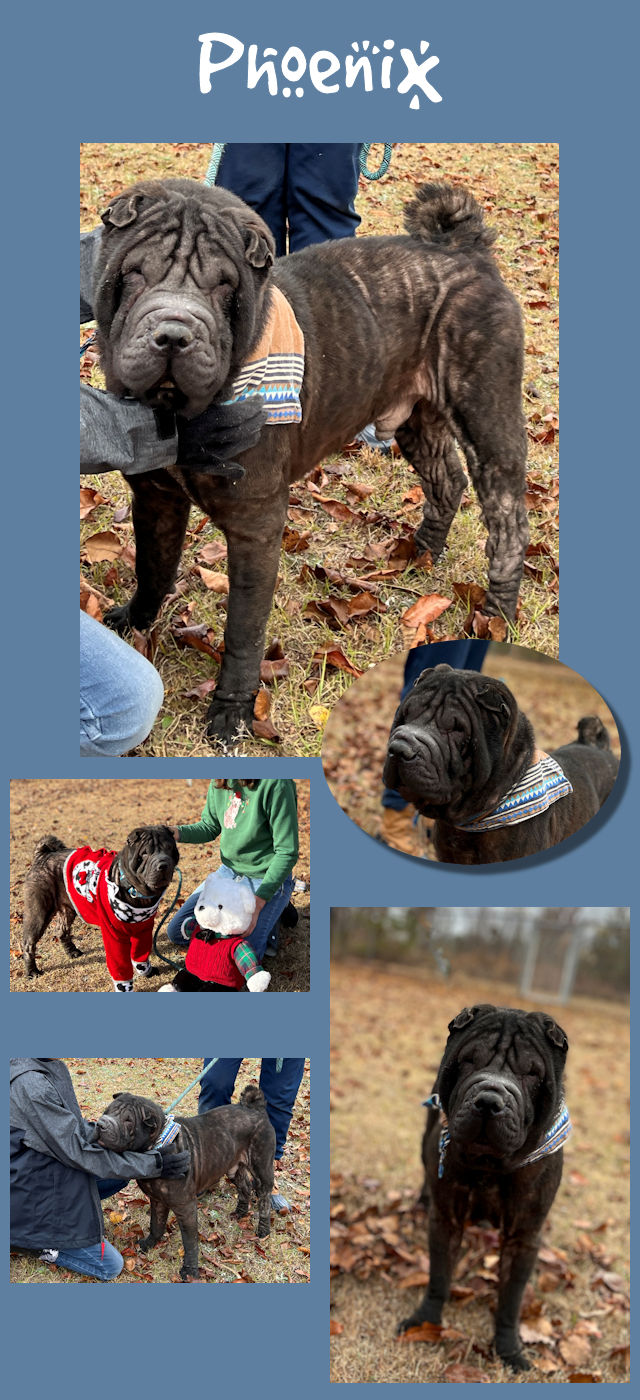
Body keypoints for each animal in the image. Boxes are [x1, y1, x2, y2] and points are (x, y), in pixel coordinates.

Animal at [21, 823, 178, 980]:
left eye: (169, 848)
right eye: (145, 854)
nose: (163, 864)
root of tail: (44, 855)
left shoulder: (144, 929)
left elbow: (141, 955)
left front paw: (147, 971)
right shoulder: (112, 933)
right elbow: (120, 964)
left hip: (68, 910)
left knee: (61, 930)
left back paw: (72, 952)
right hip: (39, 914)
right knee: (28, 943)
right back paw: (32, 971)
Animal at [91, 176, 529, 744]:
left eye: (224, 287)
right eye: (135, 274)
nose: (173, 332)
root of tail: (466, 251)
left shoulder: (256, 524)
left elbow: (244, 629)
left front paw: (231, 713)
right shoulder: (155, 496)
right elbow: (153, 565)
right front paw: (134, 621)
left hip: (487, 421)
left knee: (507, 524)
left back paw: (497, 618)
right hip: (418, 420)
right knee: (445, 479)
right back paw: (421, 553)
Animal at [94, 1080, 274, 1282]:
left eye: (128, 1121)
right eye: (107, 1111)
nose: (101, 1124)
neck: (158, 1144)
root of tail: (255, 1109)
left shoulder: (185, 1206)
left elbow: (190, 1242)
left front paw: (190, 1271)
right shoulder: (157, 1200)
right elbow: (156, 1225)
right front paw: (150, 1243)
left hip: (262, 1168)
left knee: (264, 1197)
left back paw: (263, 1230)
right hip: (233, 1167)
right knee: (245, 1186)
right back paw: (240, 1212)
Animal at [397, 1002, 568, 1372]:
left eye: (532, 1073)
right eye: (470, 1060)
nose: (490, 1100)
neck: (491, 1164)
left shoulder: (522, 1237)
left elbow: (510, 1299)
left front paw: (510, 1351)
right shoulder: (446, 1219)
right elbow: (439, 1277)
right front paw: (424, 1321)